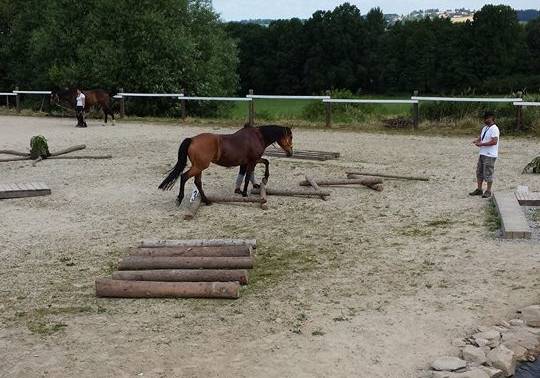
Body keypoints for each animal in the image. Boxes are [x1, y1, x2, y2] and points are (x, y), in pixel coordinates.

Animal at [159, 125, 294, 205]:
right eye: (291, 136)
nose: (291, 153)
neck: (257, 136)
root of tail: (192, 139)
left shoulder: (250, 161)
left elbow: (263, 163)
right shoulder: (252, 161)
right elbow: (249, 176)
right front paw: (245, 193)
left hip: (199, 168)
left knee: (197, 182)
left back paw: (206, 200)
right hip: (198, 167)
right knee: (184, 177)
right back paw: (180, 198)